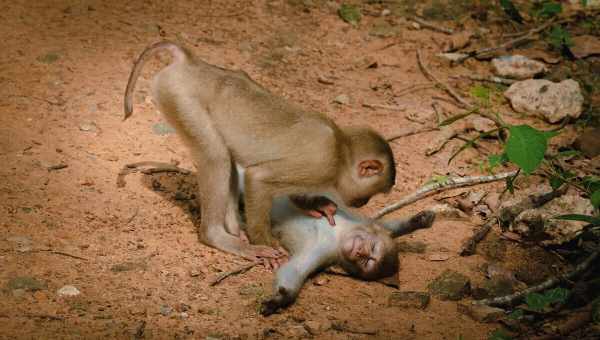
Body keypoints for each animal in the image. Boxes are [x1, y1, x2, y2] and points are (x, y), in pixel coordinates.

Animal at [123, 41, 396, 262]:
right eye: (372, 194)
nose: (362, 202)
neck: (341, 148)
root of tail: (190, 63)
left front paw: (312, 203)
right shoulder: (322, 163)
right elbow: (259, 178)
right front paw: (265, 243)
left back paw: (234, 229)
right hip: (180, 97)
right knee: (216, 157)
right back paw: (219, 237)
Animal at [260, 195, 434, 314]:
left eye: (367, 262)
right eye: (371, 248)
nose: (360, 251)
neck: (340, 235)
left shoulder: (325, 252)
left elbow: (295, 268)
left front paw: (281, 299)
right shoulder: (357, 222)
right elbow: (380, 224)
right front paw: (417, 221)